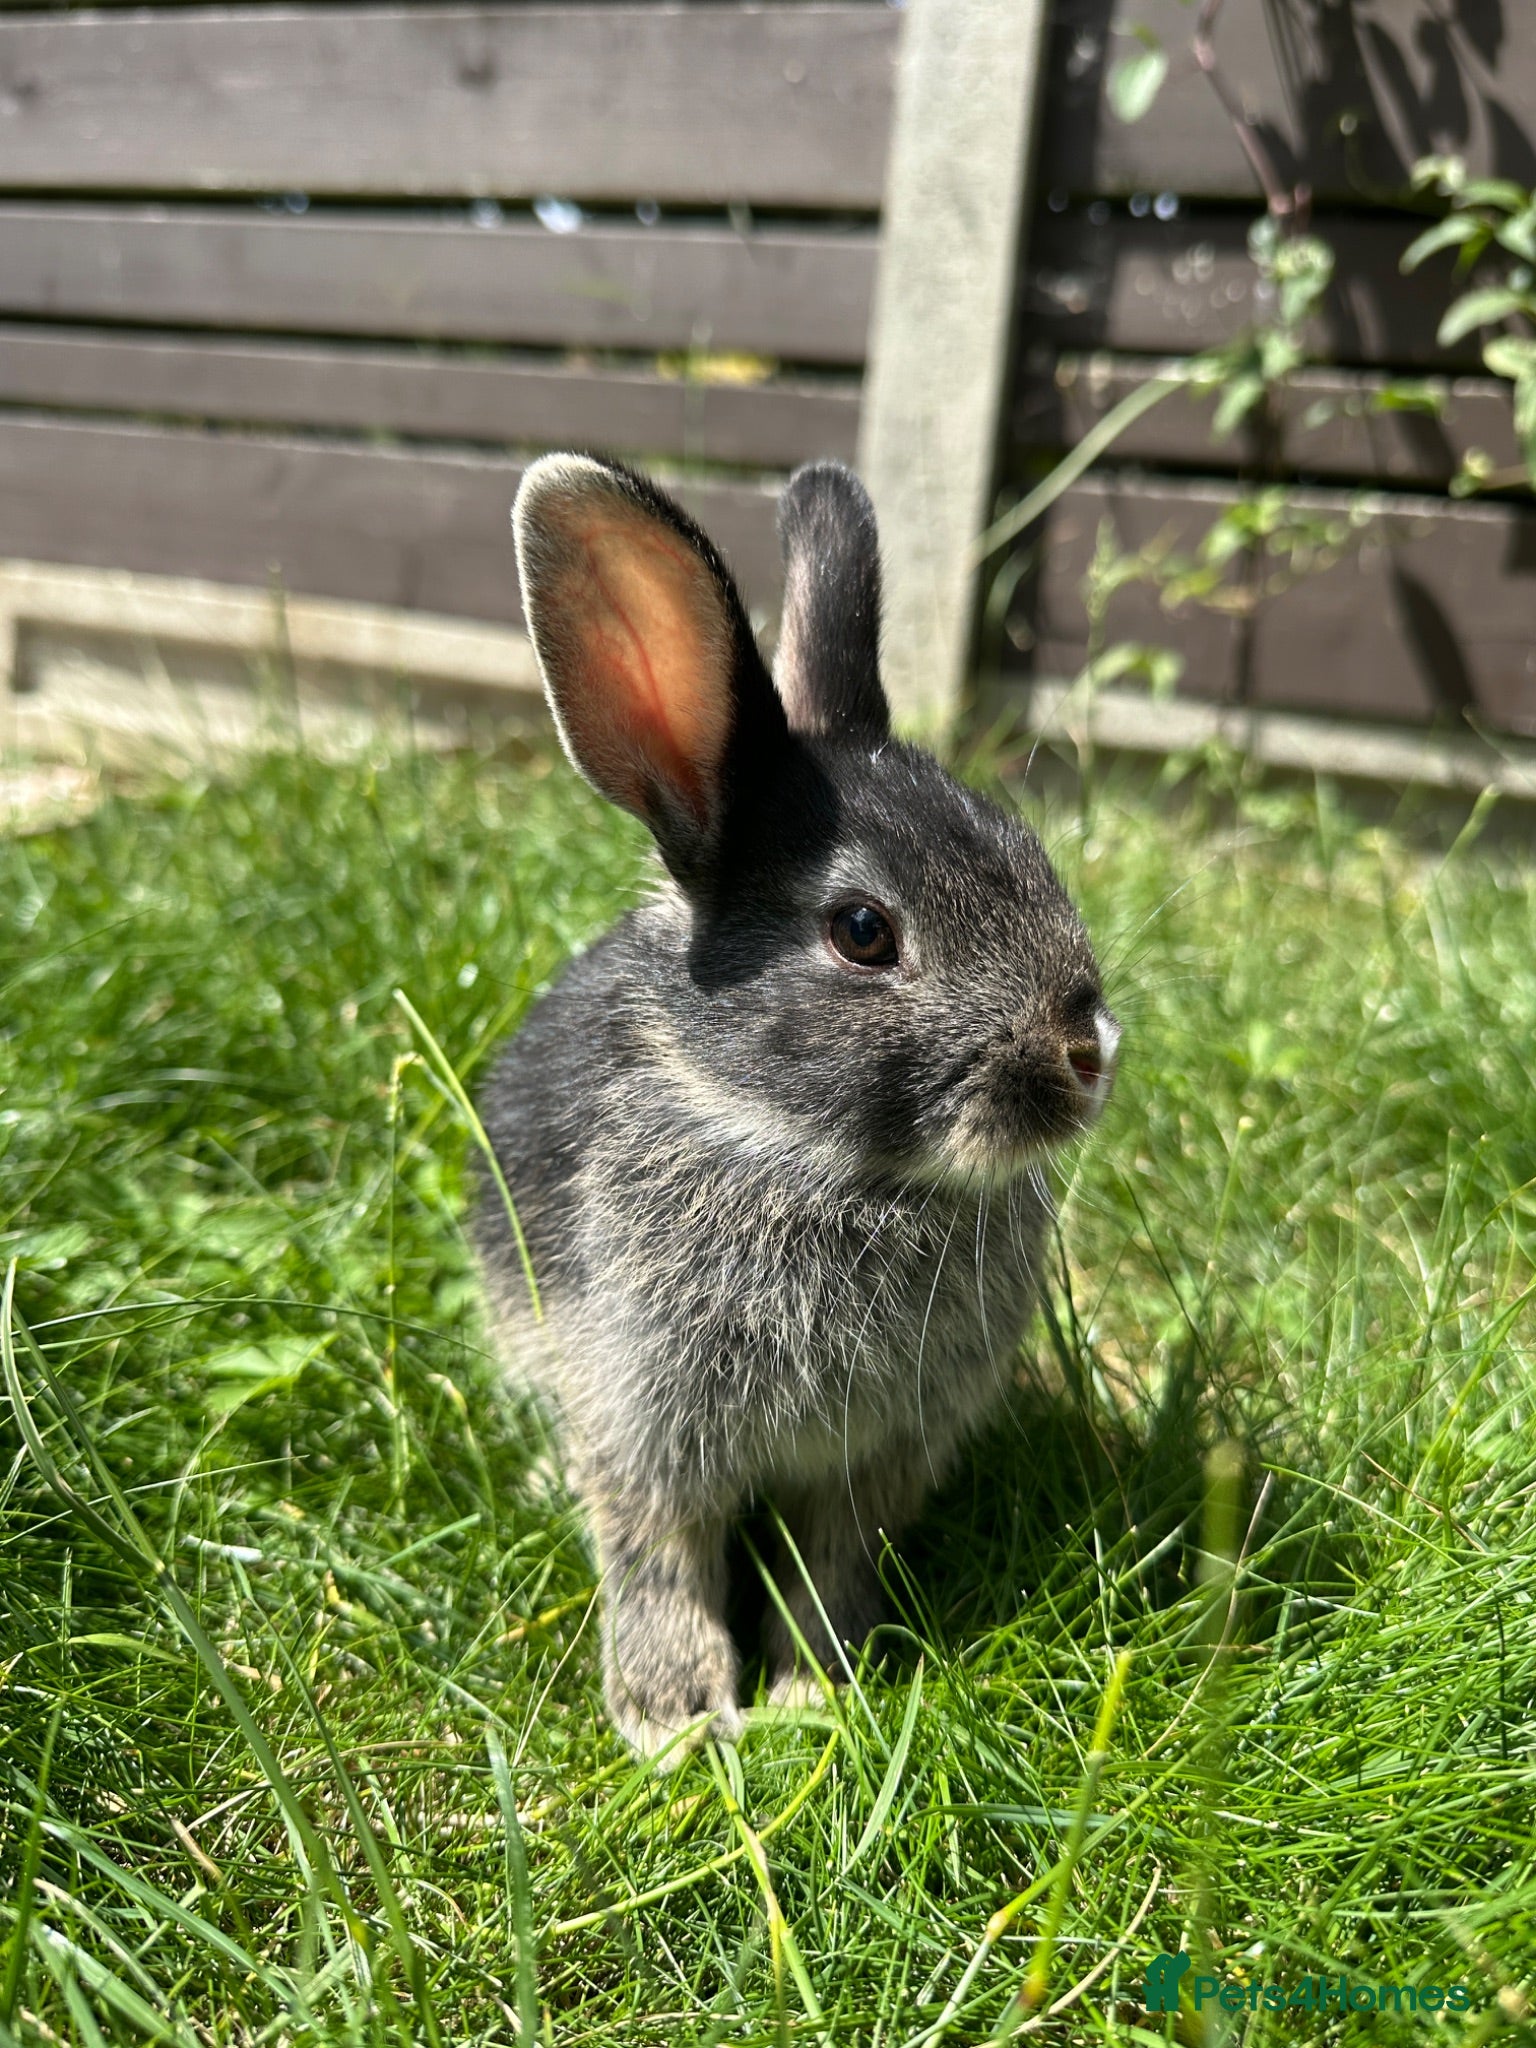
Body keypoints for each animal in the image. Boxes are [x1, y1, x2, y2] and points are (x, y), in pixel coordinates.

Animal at [475, 452, 1119, 1762]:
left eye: (1027, 850)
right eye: (862, 931)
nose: (1086, 1050)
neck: (800, 1154)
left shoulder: (878, 1457)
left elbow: (830, 1563)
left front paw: (816, 1689)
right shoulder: (641, 1418)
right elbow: (657, 1557)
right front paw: (676, 1719)